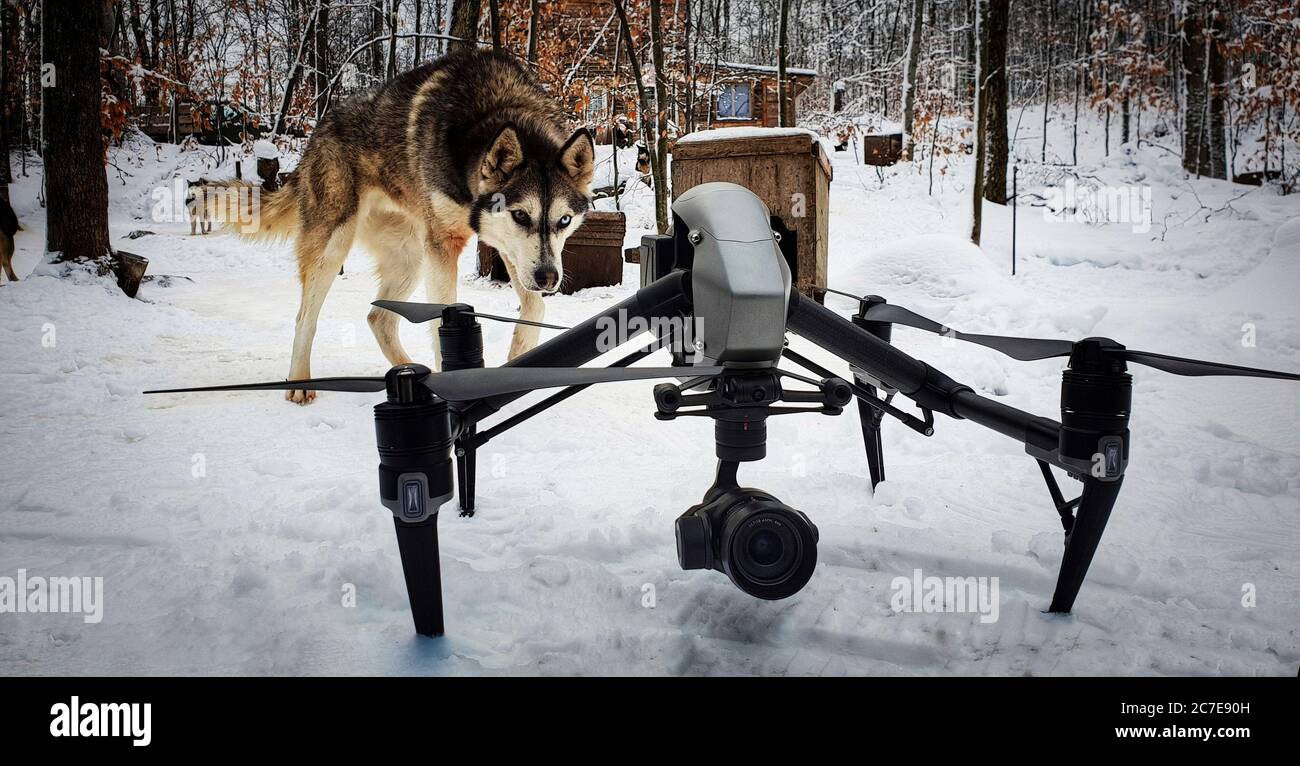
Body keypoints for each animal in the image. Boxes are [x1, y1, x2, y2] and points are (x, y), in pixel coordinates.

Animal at [222, 48, 595, 403]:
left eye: (564, 220)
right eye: (520, 215)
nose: (548, 278)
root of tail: (317, 133)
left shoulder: (508, 248)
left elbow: (535, 306)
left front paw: (517, 356)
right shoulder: (445, 245)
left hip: (411, 258)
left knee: (379, 319)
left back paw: (411, 372)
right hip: (336, 246)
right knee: (305, 319)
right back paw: (300, 381)